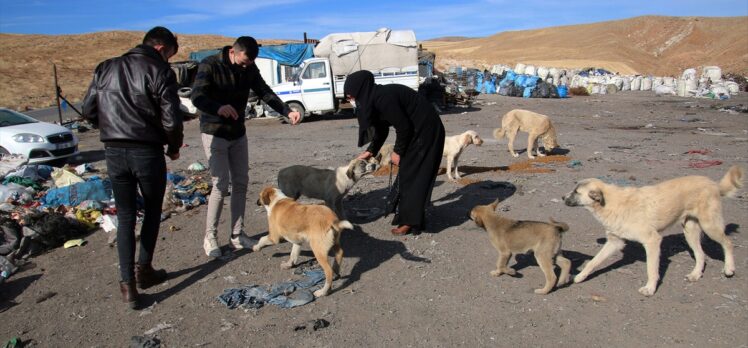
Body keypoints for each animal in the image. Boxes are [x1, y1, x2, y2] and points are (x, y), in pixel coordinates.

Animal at [564, 167, 744, 296]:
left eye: (576, 192)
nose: (562, 197)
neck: (611, 203)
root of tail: (712, 183)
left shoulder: (652, 241)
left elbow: (651, 269)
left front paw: (650, 288)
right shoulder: (615, 242)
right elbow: (593, 261)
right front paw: (581, 276)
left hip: (709, 226)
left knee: (728, 243)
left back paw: (729, 268)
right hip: (690, 231)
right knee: (701, 254)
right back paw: (695, 275)